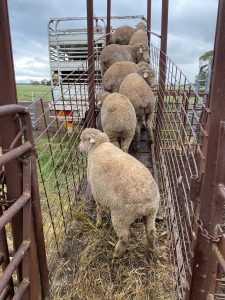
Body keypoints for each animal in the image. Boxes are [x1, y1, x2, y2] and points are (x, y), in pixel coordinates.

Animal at [79, 126, 160, 258]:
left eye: (82, 139)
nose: (78, 148)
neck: (98, 146)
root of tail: (145, 203)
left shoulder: (97, 193)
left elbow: (99, 209)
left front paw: (98, 223)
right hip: (152, 211)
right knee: (151, 232)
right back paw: (152, 249)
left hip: (121, 216)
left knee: (124, 237)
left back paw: (116, 254)